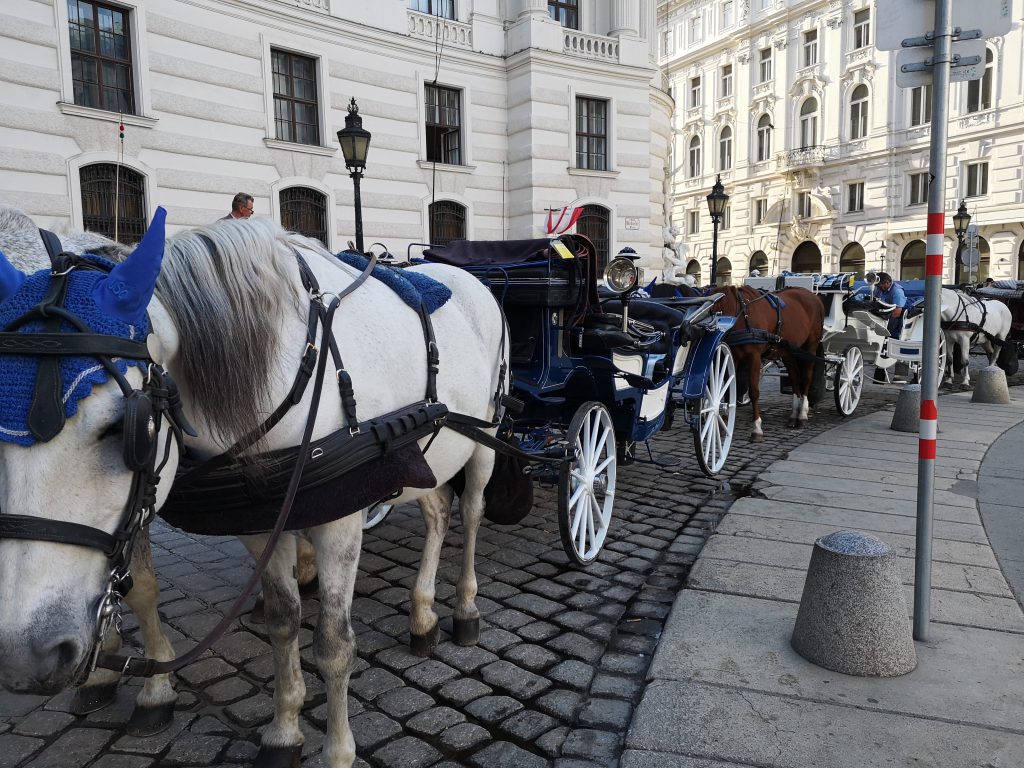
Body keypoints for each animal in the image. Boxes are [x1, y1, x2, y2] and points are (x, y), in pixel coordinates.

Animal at [0, 208, 507, 768]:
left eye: (125, 429)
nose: (25, 657)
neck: (285, 366)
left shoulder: (339, 521)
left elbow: (334, 644)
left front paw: (337, 751)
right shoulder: (260, 520)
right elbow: (282, 621)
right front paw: (284, 731)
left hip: (486, 437)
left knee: (471, 514)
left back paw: (464, 610)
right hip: (433, 453)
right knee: (438, 512)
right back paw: (422, 615)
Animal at [720, 286, 823, 442]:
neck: (743, 316)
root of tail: (814, 296)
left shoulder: (754, 357)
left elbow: (754, 392)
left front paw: (757, 428)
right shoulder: (733, 356)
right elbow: (728, 388)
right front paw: (725, 422)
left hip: (811, 345)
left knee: (806, 378)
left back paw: (802, 415)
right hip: (788, 351)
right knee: (794, 378)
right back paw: (794, 415)